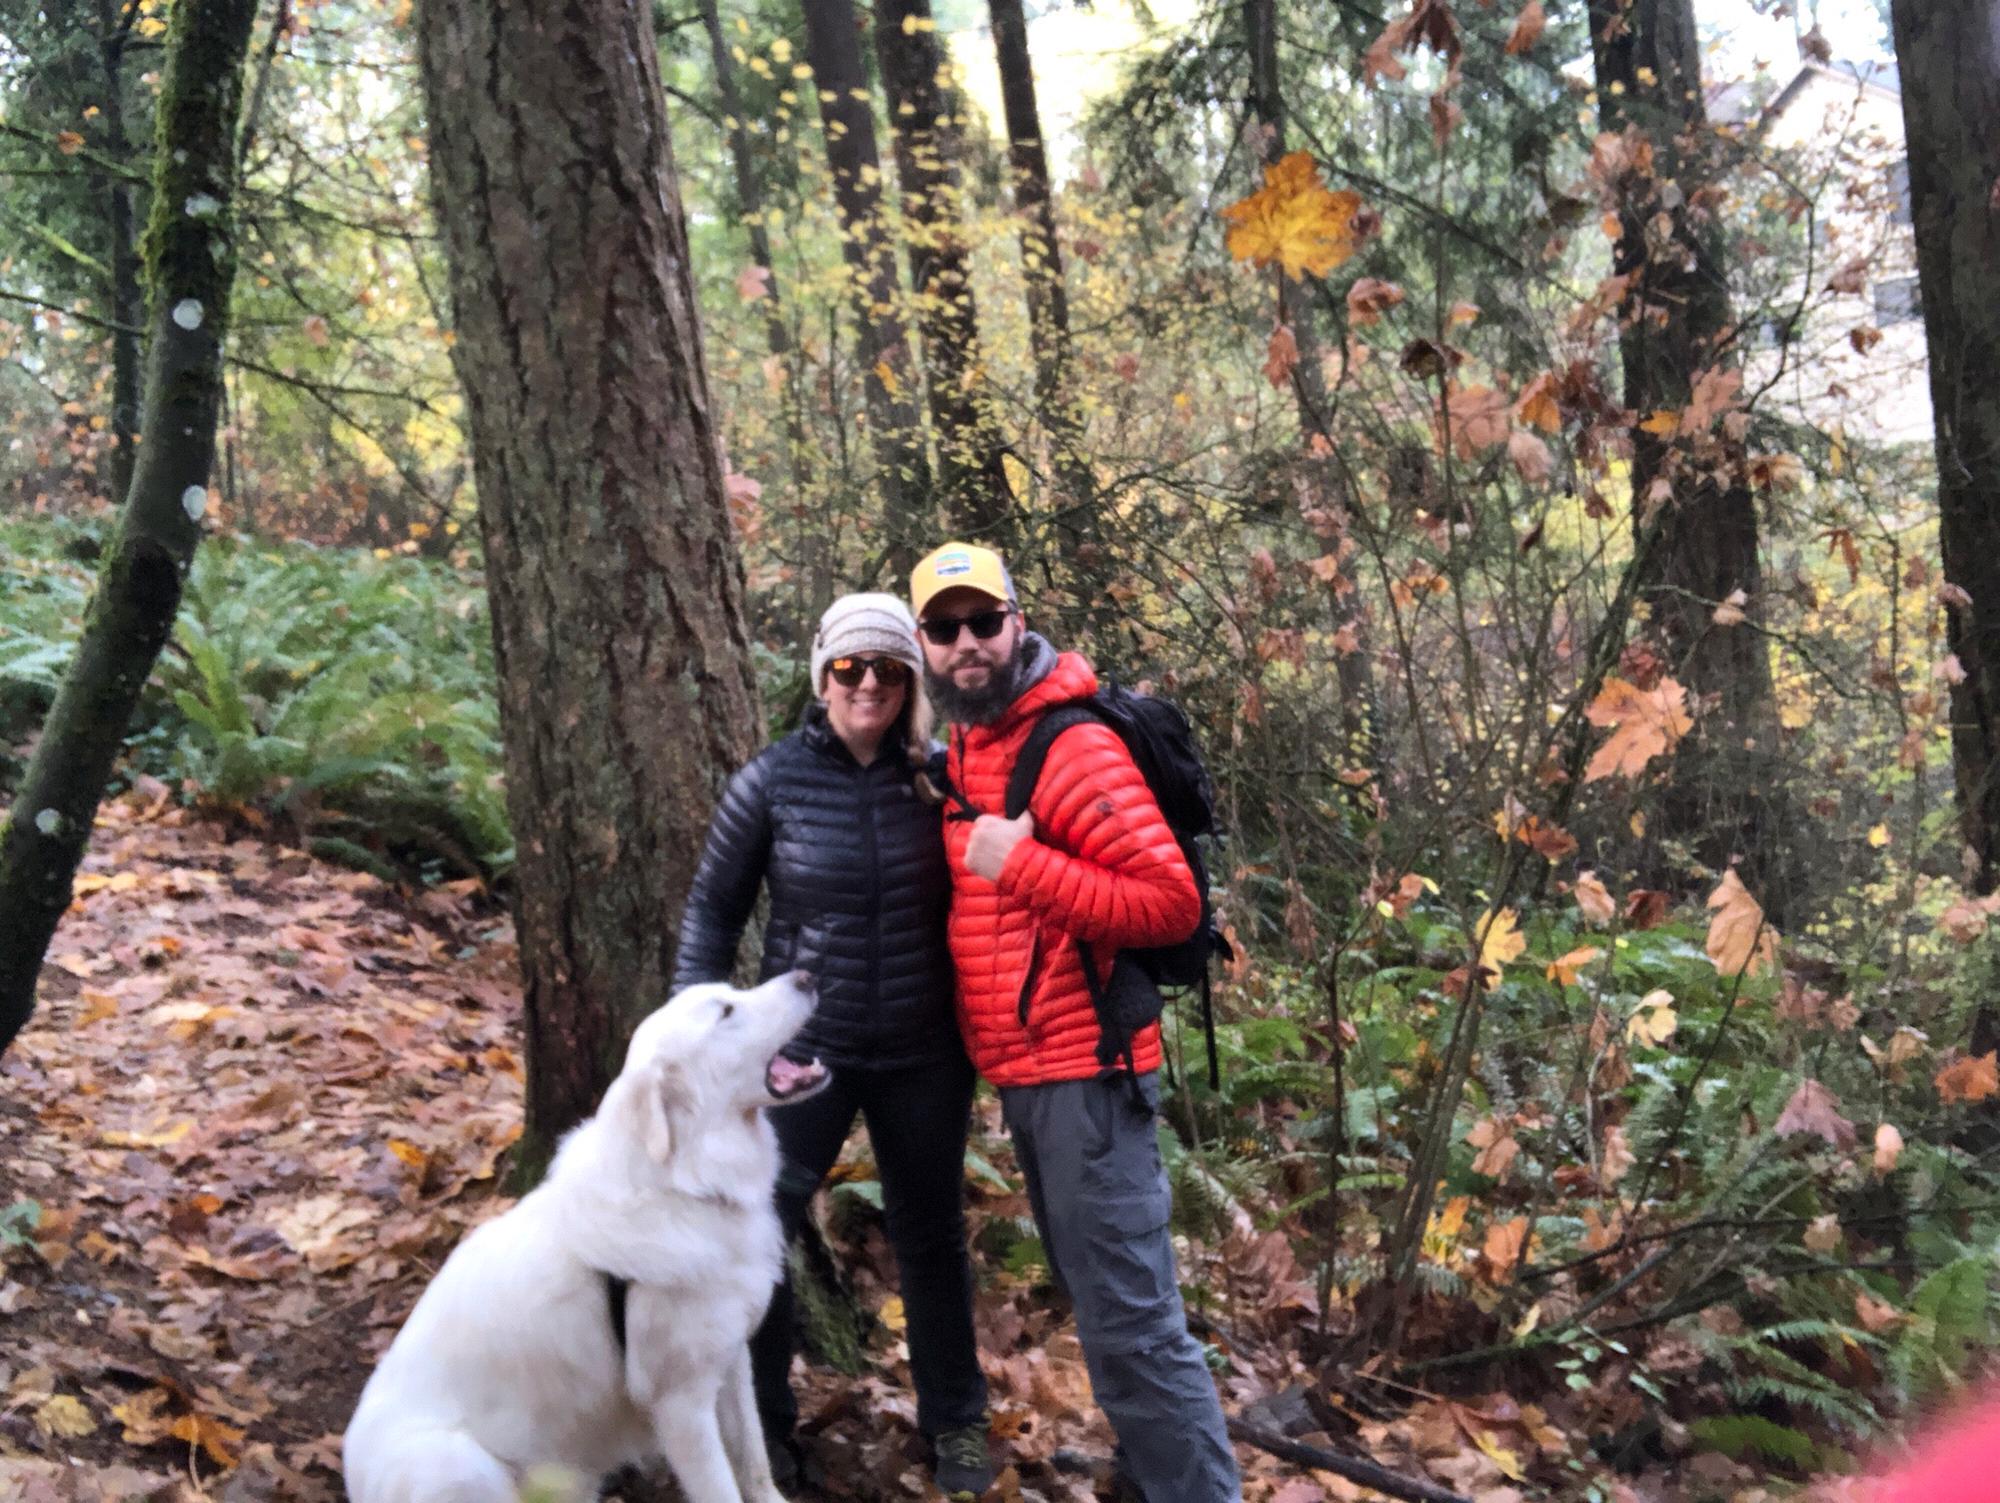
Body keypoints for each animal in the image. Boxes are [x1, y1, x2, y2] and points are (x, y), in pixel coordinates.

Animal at [348, 975, 832, 1503]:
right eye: (725, 1011)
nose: (807, 975)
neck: (685, 1186)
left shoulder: (731, 1359)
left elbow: (754, 1460)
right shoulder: (681, 1404)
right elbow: (721, 1489)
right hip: (452, 1463)